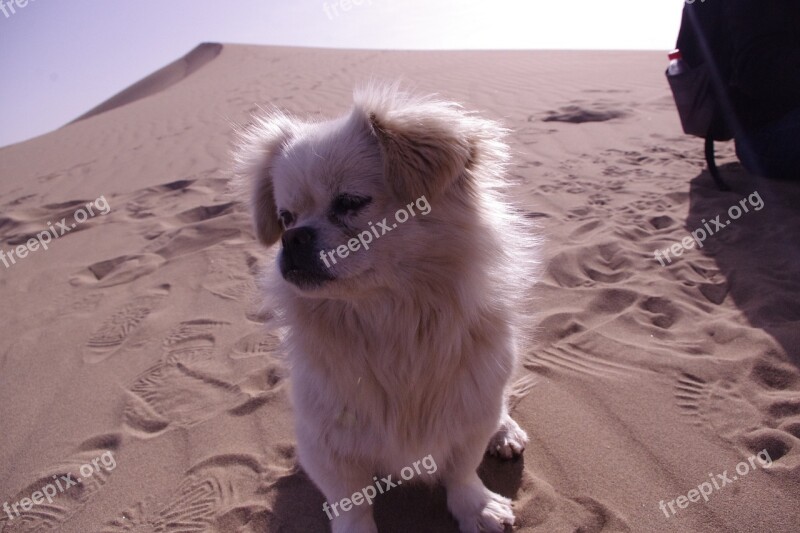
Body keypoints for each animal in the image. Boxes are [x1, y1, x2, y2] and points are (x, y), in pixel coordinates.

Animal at [234, 85, 540, 528]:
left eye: (349, 202)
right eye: (285, 217)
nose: (293, 237)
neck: (388, 321)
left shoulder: (470, 411)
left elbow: (462, 470)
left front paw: (477, 508)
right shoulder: (325, 441)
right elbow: (351, 504)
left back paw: (506, 433)